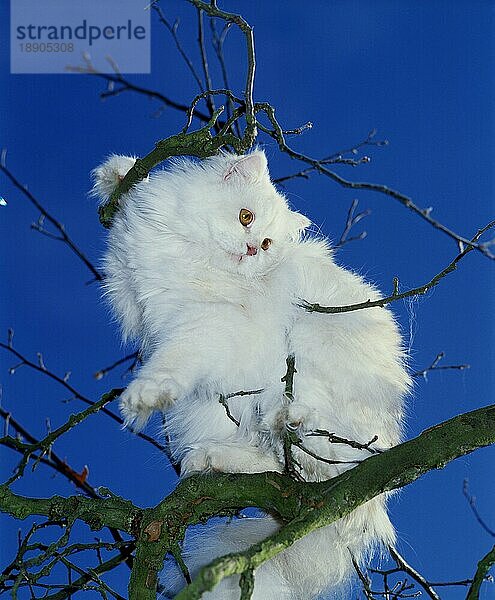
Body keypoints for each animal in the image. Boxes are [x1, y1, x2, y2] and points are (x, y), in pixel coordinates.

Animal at [92, 148, 410, 596]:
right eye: (246, 218)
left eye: (266, 243)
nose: (250, 250)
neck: (191, 253)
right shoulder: (132, 288)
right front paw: (118, 176)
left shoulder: (210, 326)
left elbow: (173, 362)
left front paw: (144, 396)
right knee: (275, 467)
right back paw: (211, 460)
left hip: (305, 354)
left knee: (299, 460)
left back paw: (282, 422)